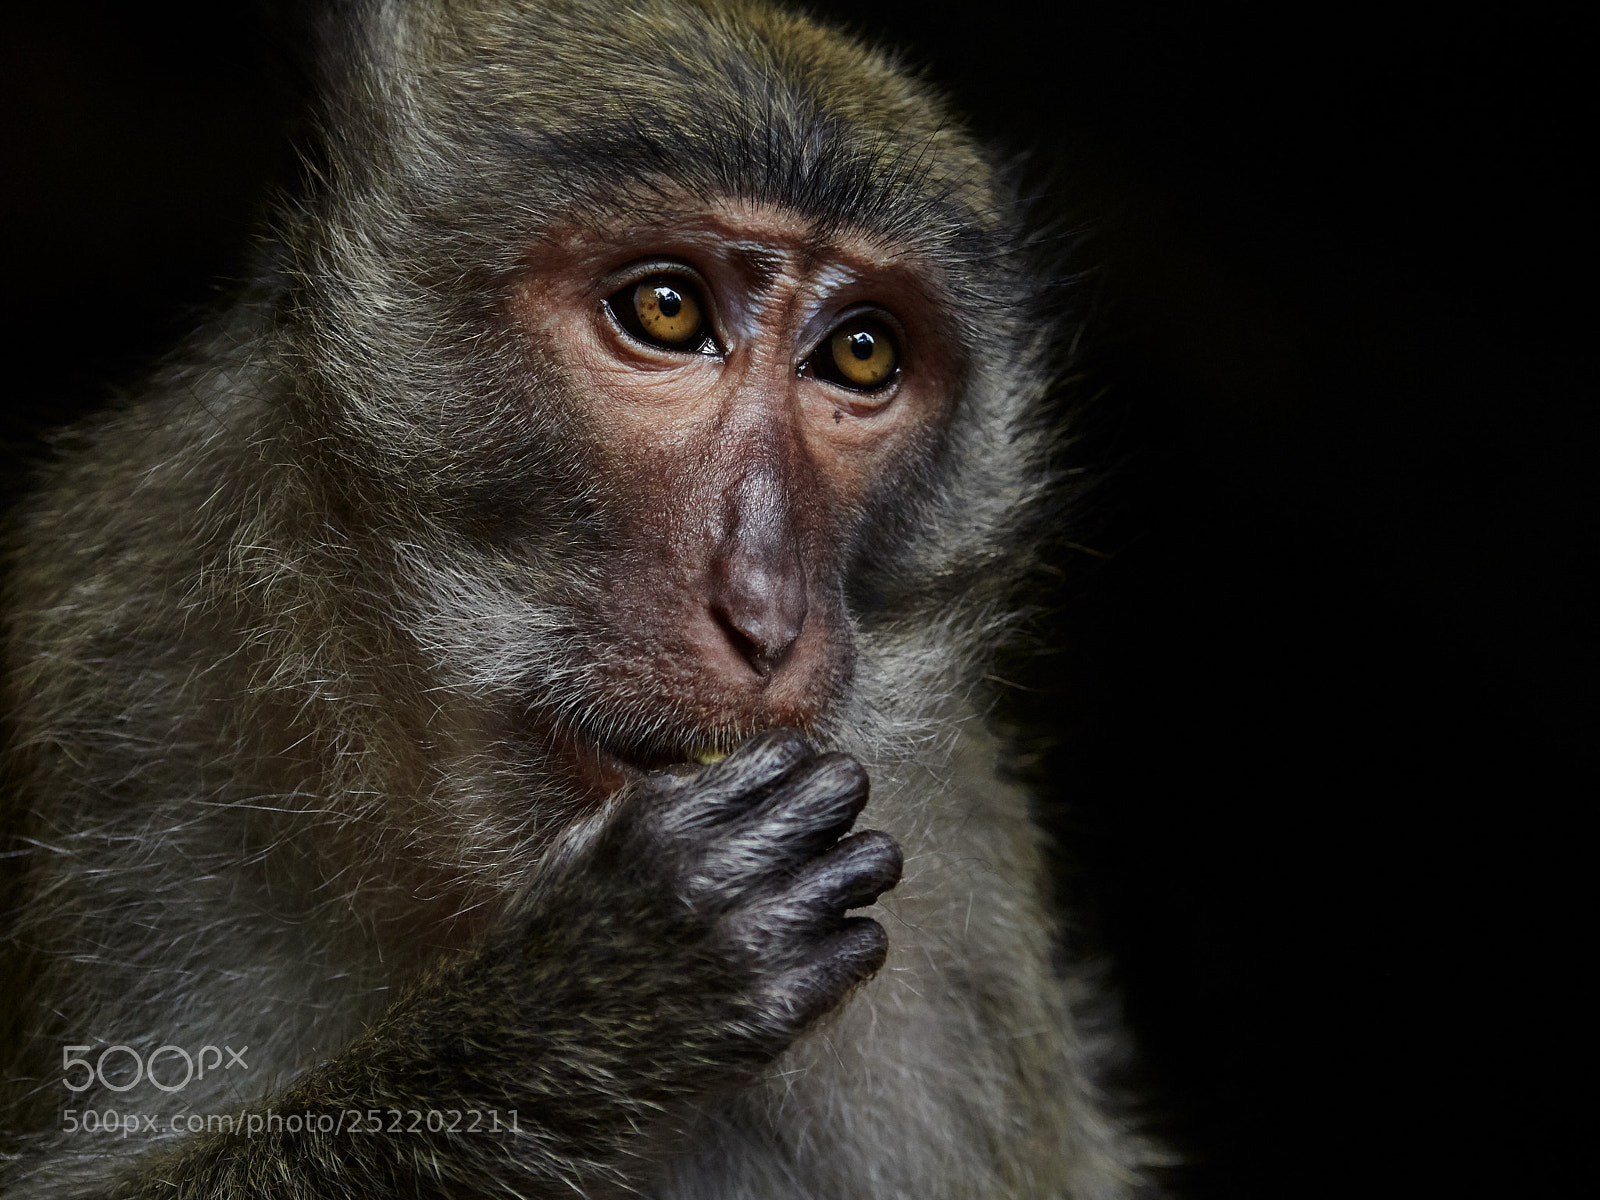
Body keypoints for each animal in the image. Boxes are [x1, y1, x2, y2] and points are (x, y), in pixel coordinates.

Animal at [0, 0, 1161, 1196]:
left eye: (860, 352)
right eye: (665, 309)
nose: (765, 614)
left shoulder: (957, 933)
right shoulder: (131, 692)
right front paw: (596, 996)